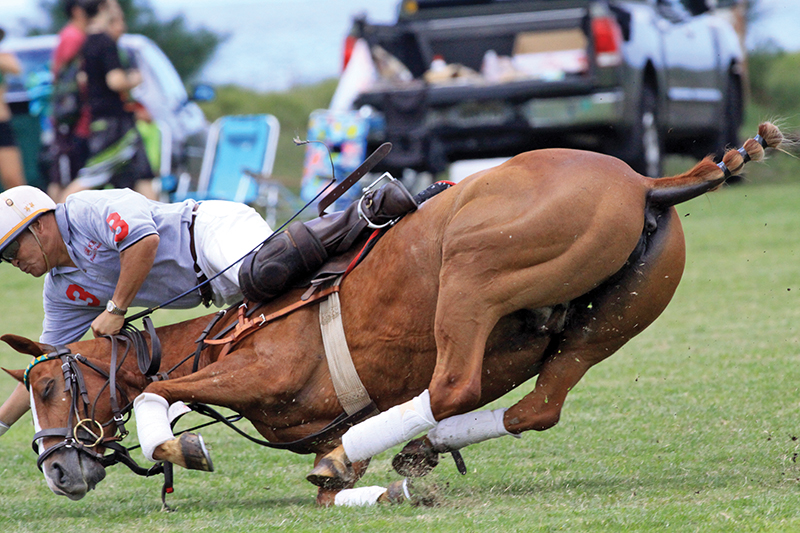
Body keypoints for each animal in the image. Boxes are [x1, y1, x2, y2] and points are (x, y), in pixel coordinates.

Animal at [2, 123, 786, 507]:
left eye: (47, 388)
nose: (57, 471)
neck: (219, 338)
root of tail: (646, 180)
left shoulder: (265, 369)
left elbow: (158, 390)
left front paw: (181, 448)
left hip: (472, 273)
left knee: (453, 384)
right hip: (606, 325)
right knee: (535, 404)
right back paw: (419, 446)